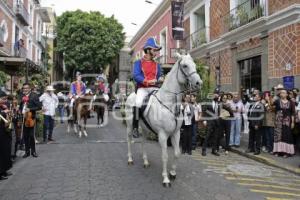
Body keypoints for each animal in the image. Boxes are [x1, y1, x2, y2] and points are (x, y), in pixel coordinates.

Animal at [124, 52, 202, 186]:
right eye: (185, 66)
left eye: (194, 65)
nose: (199, 82)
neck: (170, 103)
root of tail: (130, 95)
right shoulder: (162, 135)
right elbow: (165, 156)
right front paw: (165, 178)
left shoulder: (176, 133)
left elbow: (177, 153)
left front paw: (173, 173)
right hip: (129, 126)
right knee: (129, 140)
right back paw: (129, 159)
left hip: (145, 128)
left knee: (143, 142)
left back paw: (145, 162)